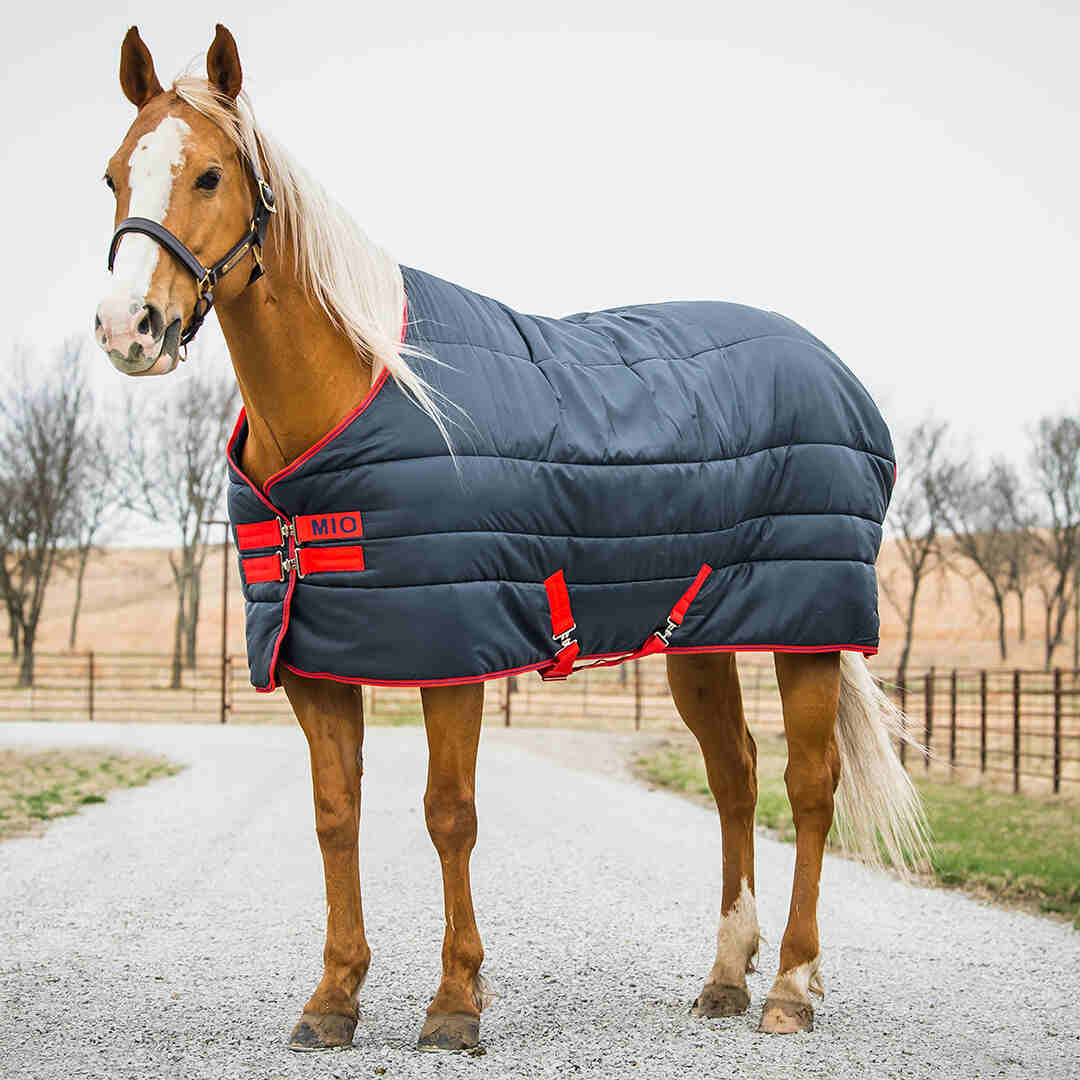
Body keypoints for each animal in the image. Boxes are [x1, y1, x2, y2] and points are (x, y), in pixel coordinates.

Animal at [94, 24, 928, 1052]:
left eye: (209, 174)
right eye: (113, 175)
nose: (127, 327)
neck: (357, 398)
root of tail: (832, 368)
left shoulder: (457, 650)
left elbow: (449, 815)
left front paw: (456, 1002)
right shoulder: (313, 660)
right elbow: (337, 815)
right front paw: (333, 998)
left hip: (810, 628)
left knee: (809, 787)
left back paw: (792, 988)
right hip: (700, 633)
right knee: (733, 778)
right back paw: (727, 977)